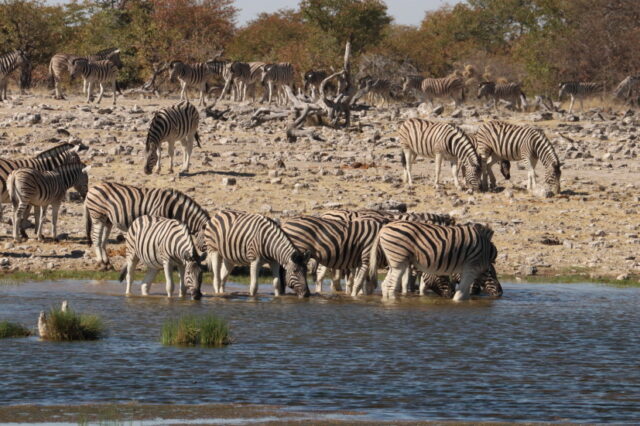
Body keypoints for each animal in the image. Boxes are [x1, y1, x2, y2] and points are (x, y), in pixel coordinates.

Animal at [370, 221, 498, 301]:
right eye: (491, 274)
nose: (500, 293)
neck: (487, 252)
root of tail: (383, 228)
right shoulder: (471, 268)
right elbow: (460, 294)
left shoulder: (465, 270)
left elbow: (464, 293)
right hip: (399, 260)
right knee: (391, 286)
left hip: (394, 262)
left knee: (385, 284)